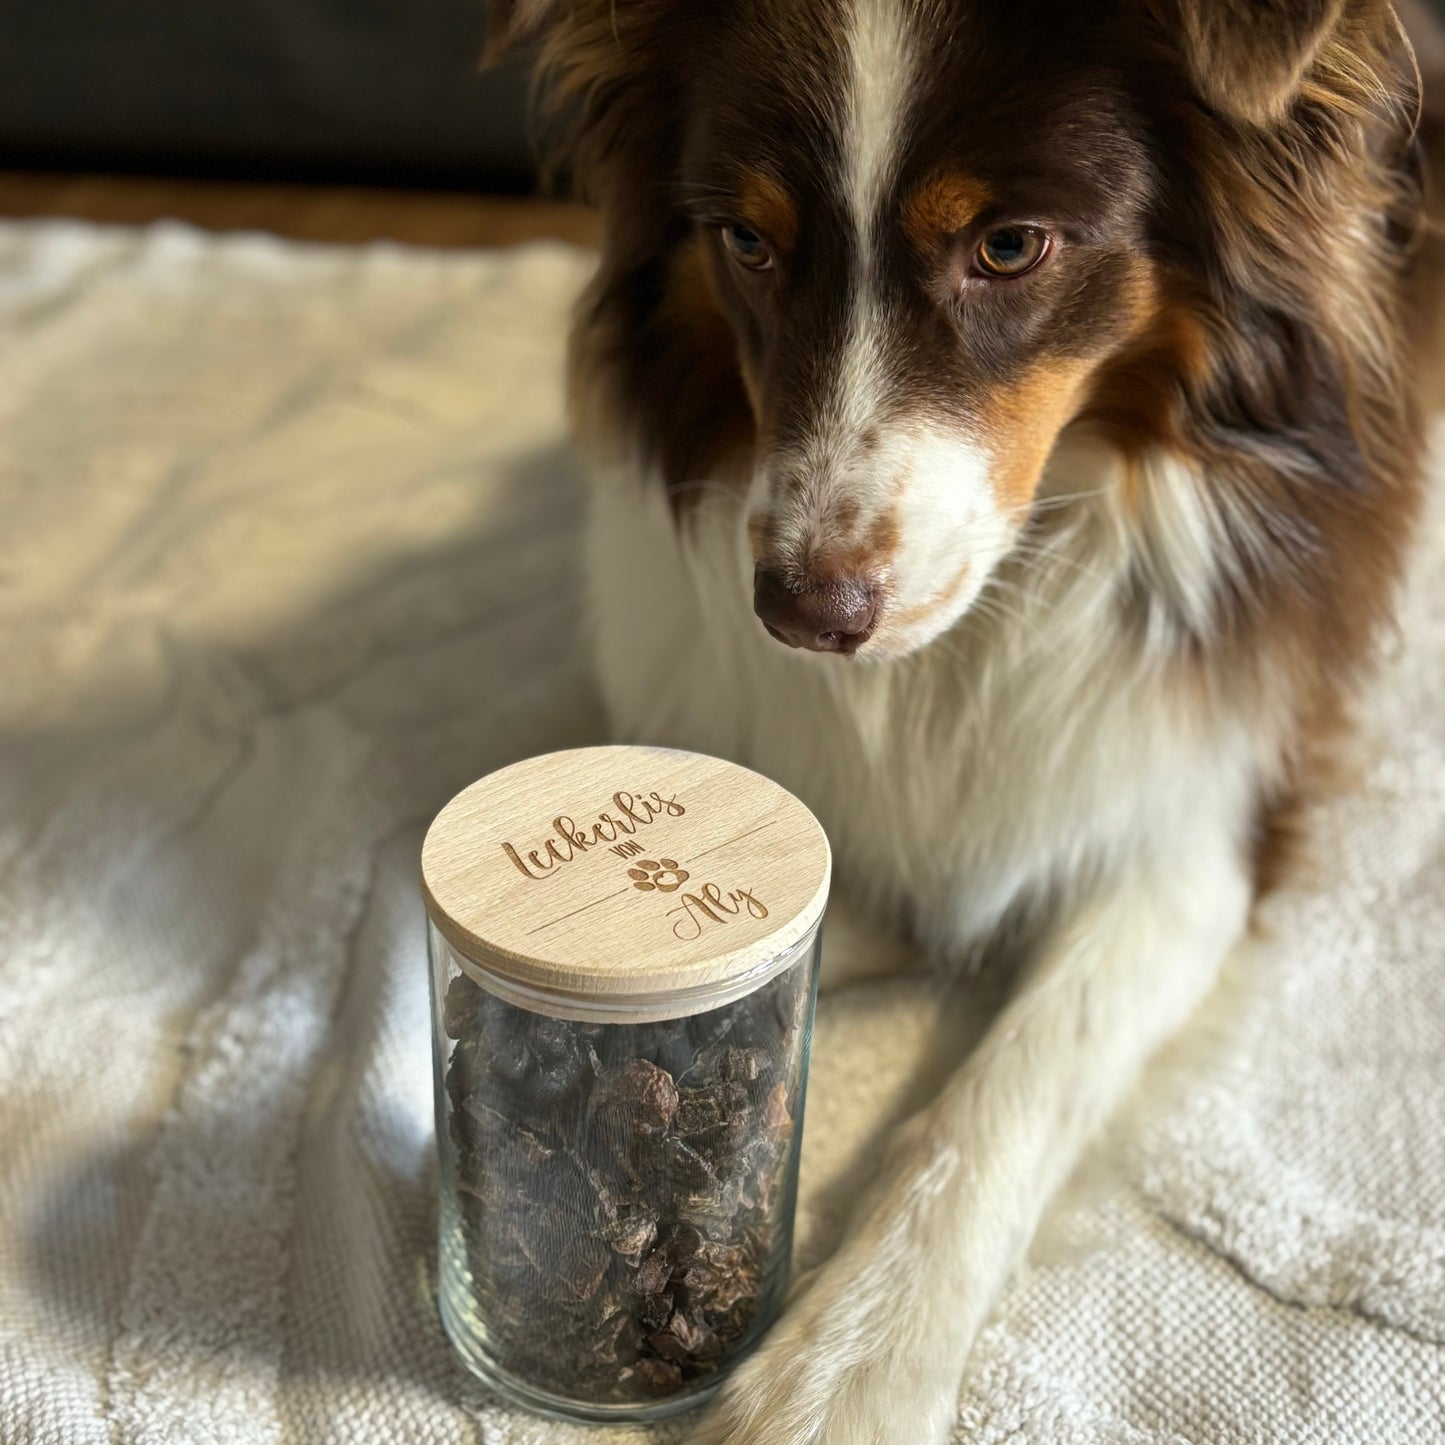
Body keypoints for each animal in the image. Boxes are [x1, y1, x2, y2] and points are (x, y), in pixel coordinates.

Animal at [491, 2, 1439, 1445]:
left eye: (1007, 246)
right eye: (746, 242)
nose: (801, 611)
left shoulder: (1202, 820)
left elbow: (1022, 1072)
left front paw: (844, 1368)